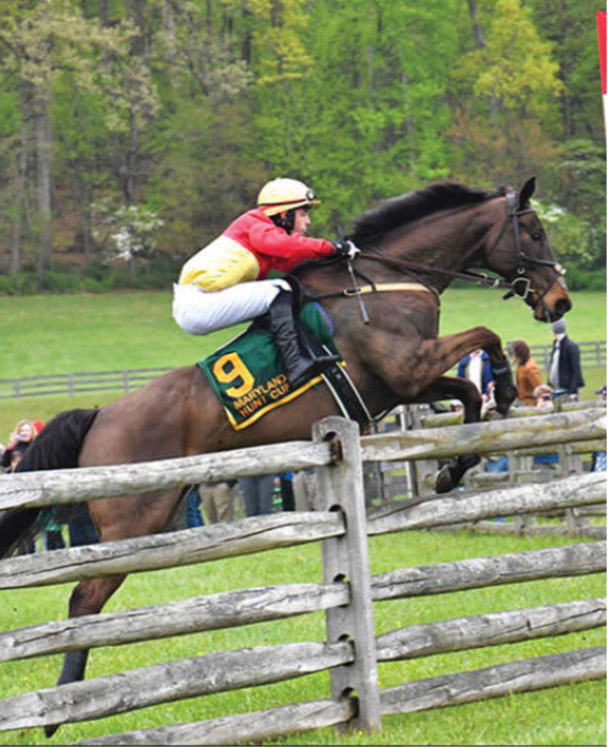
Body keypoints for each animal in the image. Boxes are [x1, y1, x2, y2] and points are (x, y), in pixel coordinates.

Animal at [0, 176, 571, 736]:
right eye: (535, 232)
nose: (561, 301)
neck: (385, 278)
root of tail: (100, 416)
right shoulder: (408, 368)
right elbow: (485, 337)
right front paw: (503, 388)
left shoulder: (408, 382)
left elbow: (468, 393)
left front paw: (454, 467)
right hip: (132, 520)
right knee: (84, 597)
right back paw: (63, 704)